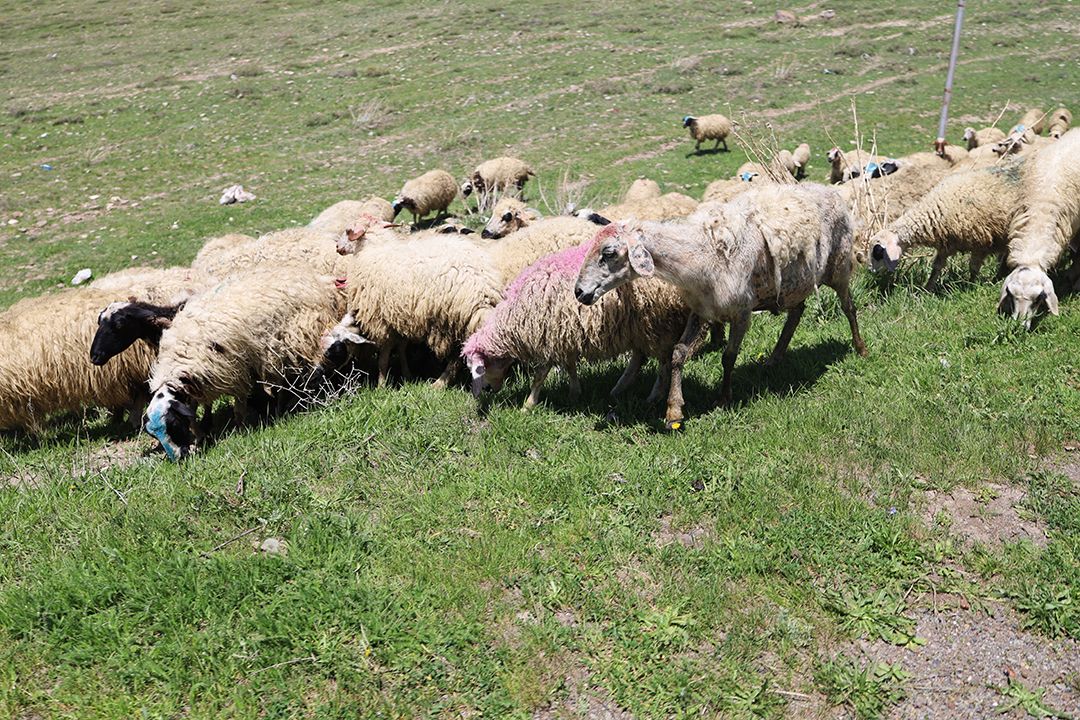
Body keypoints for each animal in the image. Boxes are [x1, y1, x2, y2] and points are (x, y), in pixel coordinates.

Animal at [144, 264, 346, 459]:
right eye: (155, 435)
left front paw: (240, 430)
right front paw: (201, 433)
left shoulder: (235, 373)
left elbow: (239, 407)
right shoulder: (201, 381)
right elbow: (197, 411)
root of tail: (316, 277)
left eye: (174, 424)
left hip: (302, 334)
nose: (179, 458)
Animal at [327, 233, 503, 388]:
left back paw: (439, 384)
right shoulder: (401, 319)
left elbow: (384, 356)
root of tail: (482, 291)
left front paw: (381, 385)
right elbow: (401, 349)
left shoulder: (383, 321)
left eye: (338, 345)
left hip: (453, 318)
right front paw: (407, 375)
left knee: (457, 357)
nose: (337, 247)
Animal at [462, 240, 690, 409]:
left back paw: (653, 396)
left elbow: (540, 375)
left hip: (660, 323)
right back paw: (618, 389)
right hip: (641, 326)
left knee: (664, 362)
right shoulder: (564, 336)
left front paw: (528, 404)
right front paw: (574, 393)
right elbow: (570, 366)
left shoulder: (548, 338)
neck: (516, 314)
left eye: (480, 367)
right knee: (639, 357)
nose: (486, 390)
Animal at [574, 183, 866, 429]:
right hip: (795, 282)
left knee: (848, 308)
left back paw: (860, 348)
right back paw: (775, 357)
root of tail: (829, 190)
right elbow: (678, 353)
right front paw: (673, 410)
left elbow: (728, 357)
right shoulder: (701, 309)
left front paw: (723, 398)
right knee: (797, 312)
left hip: (838, 267)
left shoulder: (741, 312)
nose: (579, 292)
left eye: (608, 253)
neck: (700, 254)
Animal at [868, 161, 1025, 290]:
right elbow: (936, 268)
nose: (870, 271)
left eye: (877, 252)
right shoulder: (947, 244)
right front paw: (927, 289)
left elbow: (973, 267)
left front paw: (971, 285)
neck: (936, 210)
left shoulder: (981, 242)